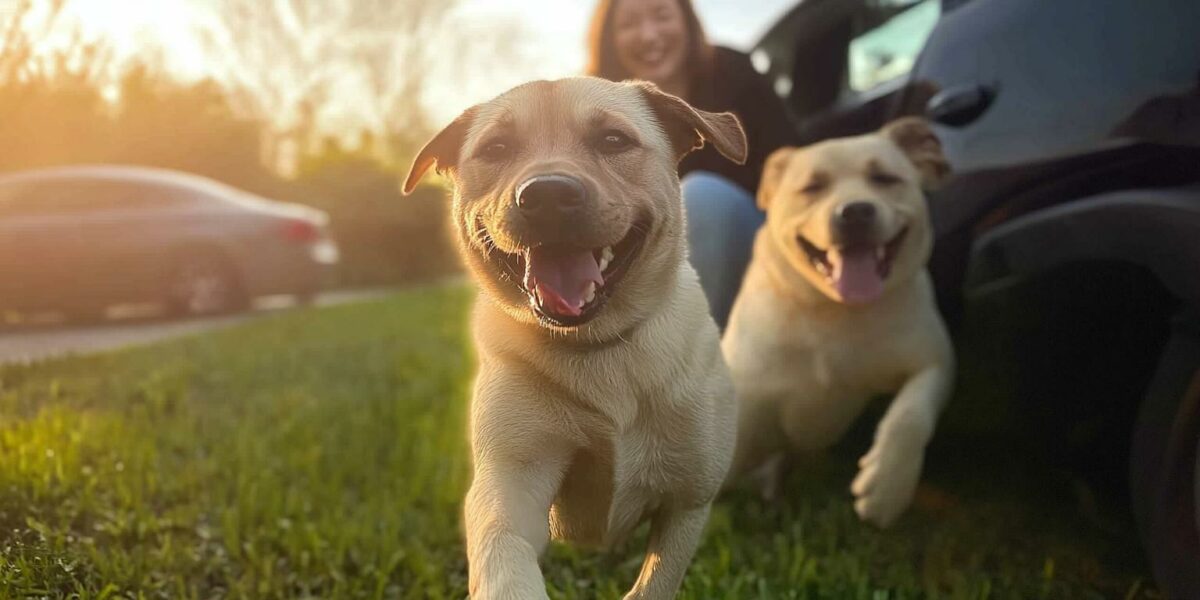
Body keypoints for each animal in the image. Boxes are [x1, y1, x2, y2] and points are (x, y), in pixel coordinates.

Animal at [403, 77, 744, 597]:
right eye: (496, 148)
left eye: (614, 140)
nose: (546, 195)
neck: (596, 346)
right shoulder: (511, 480)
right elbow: (504, 556)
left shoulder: (688, 501)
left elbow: (655, 583)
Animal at [720, 118, 955, 530]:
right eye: (812, 187)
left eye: (885, 178)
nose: (856, 211)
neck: (833, 312)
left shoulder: (934, 359)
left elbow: (911, 413)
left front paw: (887, 486)